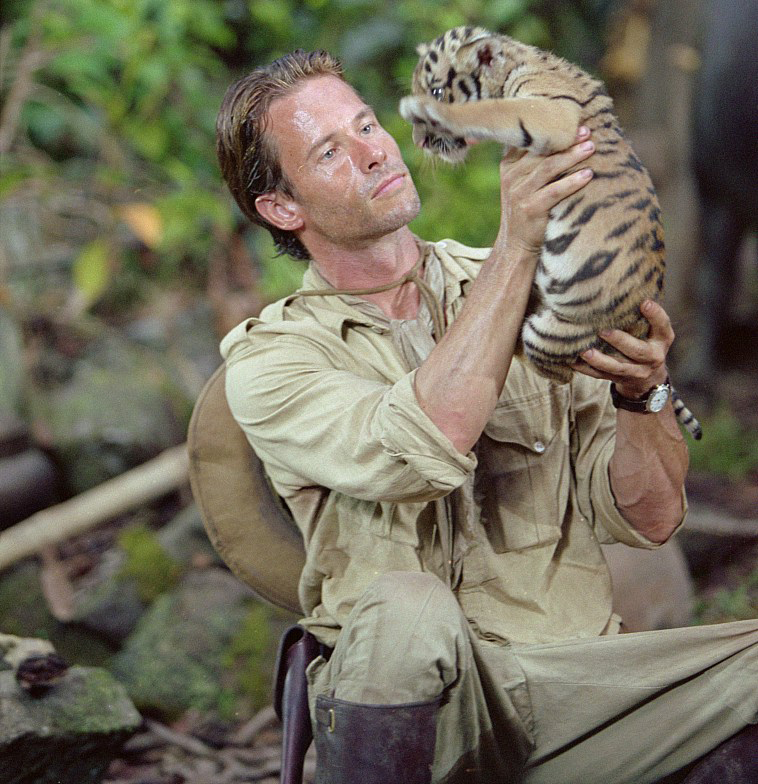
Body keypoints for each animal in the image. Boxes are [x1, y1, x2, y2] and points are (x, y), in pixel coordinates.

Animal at [399, 25, 702, 440]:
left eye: (438, 91)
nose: (419, 142)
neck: (520, 60)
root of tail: (641, 326)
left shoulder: (551, 113)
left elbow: (486, 111)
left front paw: (425, 110)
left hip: (556, 333)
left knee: (553, 372)